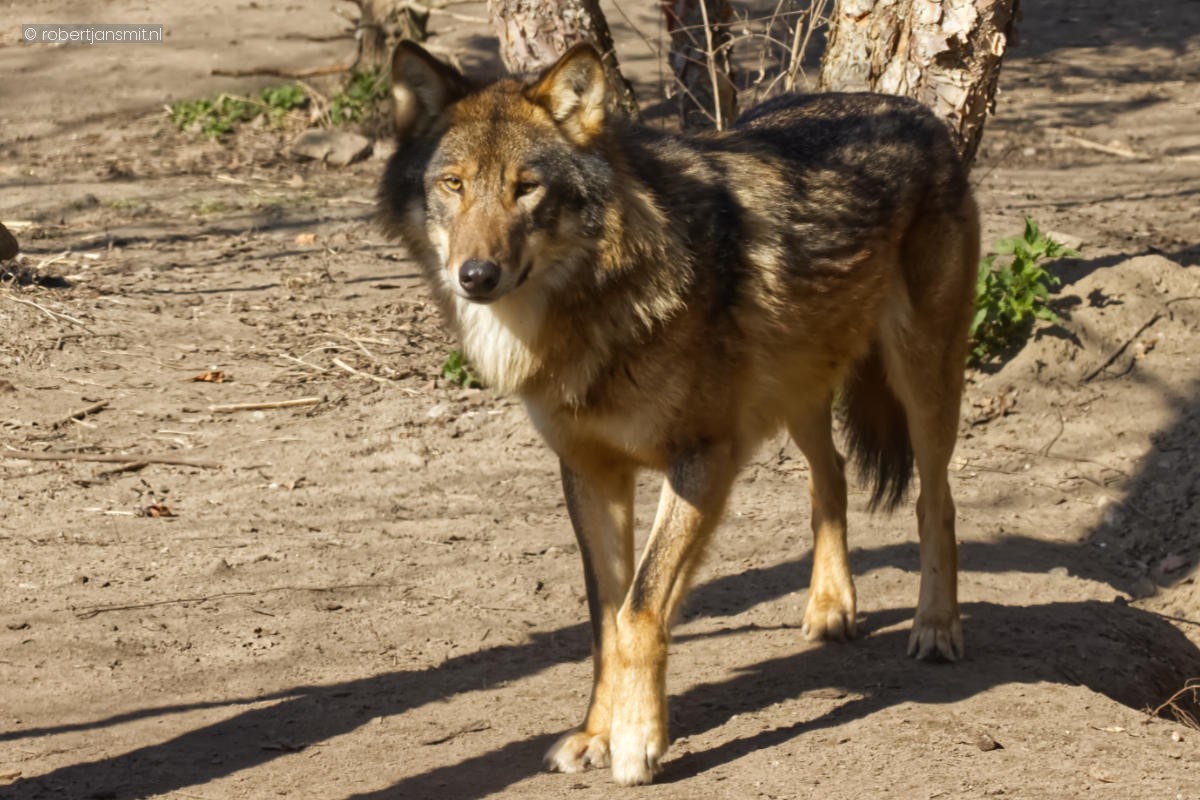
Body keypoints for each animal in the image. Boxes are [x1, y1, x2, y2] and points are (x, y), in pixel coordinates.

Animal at [379, 41, 979, 786]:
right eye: (454, 183)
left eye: (527, 187)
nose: (476, 276)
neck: (595, 308)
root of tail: (913, 109)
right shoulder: (590, 473)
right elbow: (605, 618)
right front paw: (596, 734)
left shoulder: (701, 459)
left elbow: (640, 608)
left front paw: (637, 742)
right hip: (798, 393)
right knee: (832, 478)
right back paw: (830, 606)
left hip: (920, 377)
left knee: (935, 501)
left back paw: (937, 627)